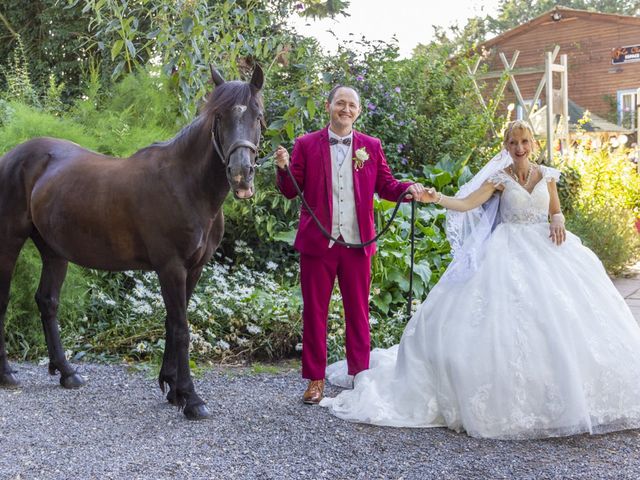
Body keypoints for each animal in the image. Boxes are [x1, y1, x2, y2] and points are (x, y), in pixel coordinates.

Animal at [0, 65, 262, 418]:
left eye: (258, 116)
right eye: (218, 117)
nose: (240, 174)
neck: (187, 185)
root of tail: (14, 156)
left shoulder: (193, 269)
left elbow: (171, 323)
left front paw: (173, 389)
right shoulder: (171, 267)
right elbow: (182, 329)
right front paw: (192, 399)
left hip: (54, 250)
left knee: (47, 301)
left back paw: (67, 372)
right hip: (9, 241)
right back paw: (7, 374)